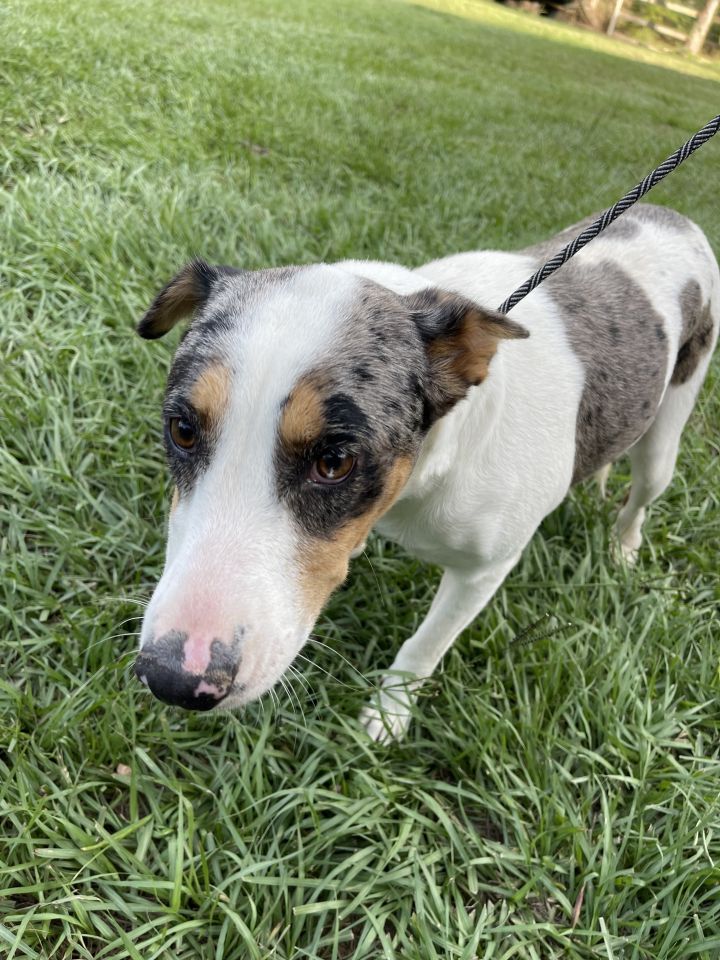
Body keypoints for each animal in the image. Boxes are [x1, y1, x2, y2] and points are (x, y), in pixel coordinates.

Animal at [132, 204, 716, 744]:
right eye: (182, 430)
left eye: (335, 462)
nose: (171, 679)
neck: (426, 477)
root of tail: (671, 214)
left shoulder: (485, 569)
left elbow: (426, 643)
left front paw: (389, 712)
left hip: (670, 428)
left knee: (643, 492)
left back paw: (623, 546)